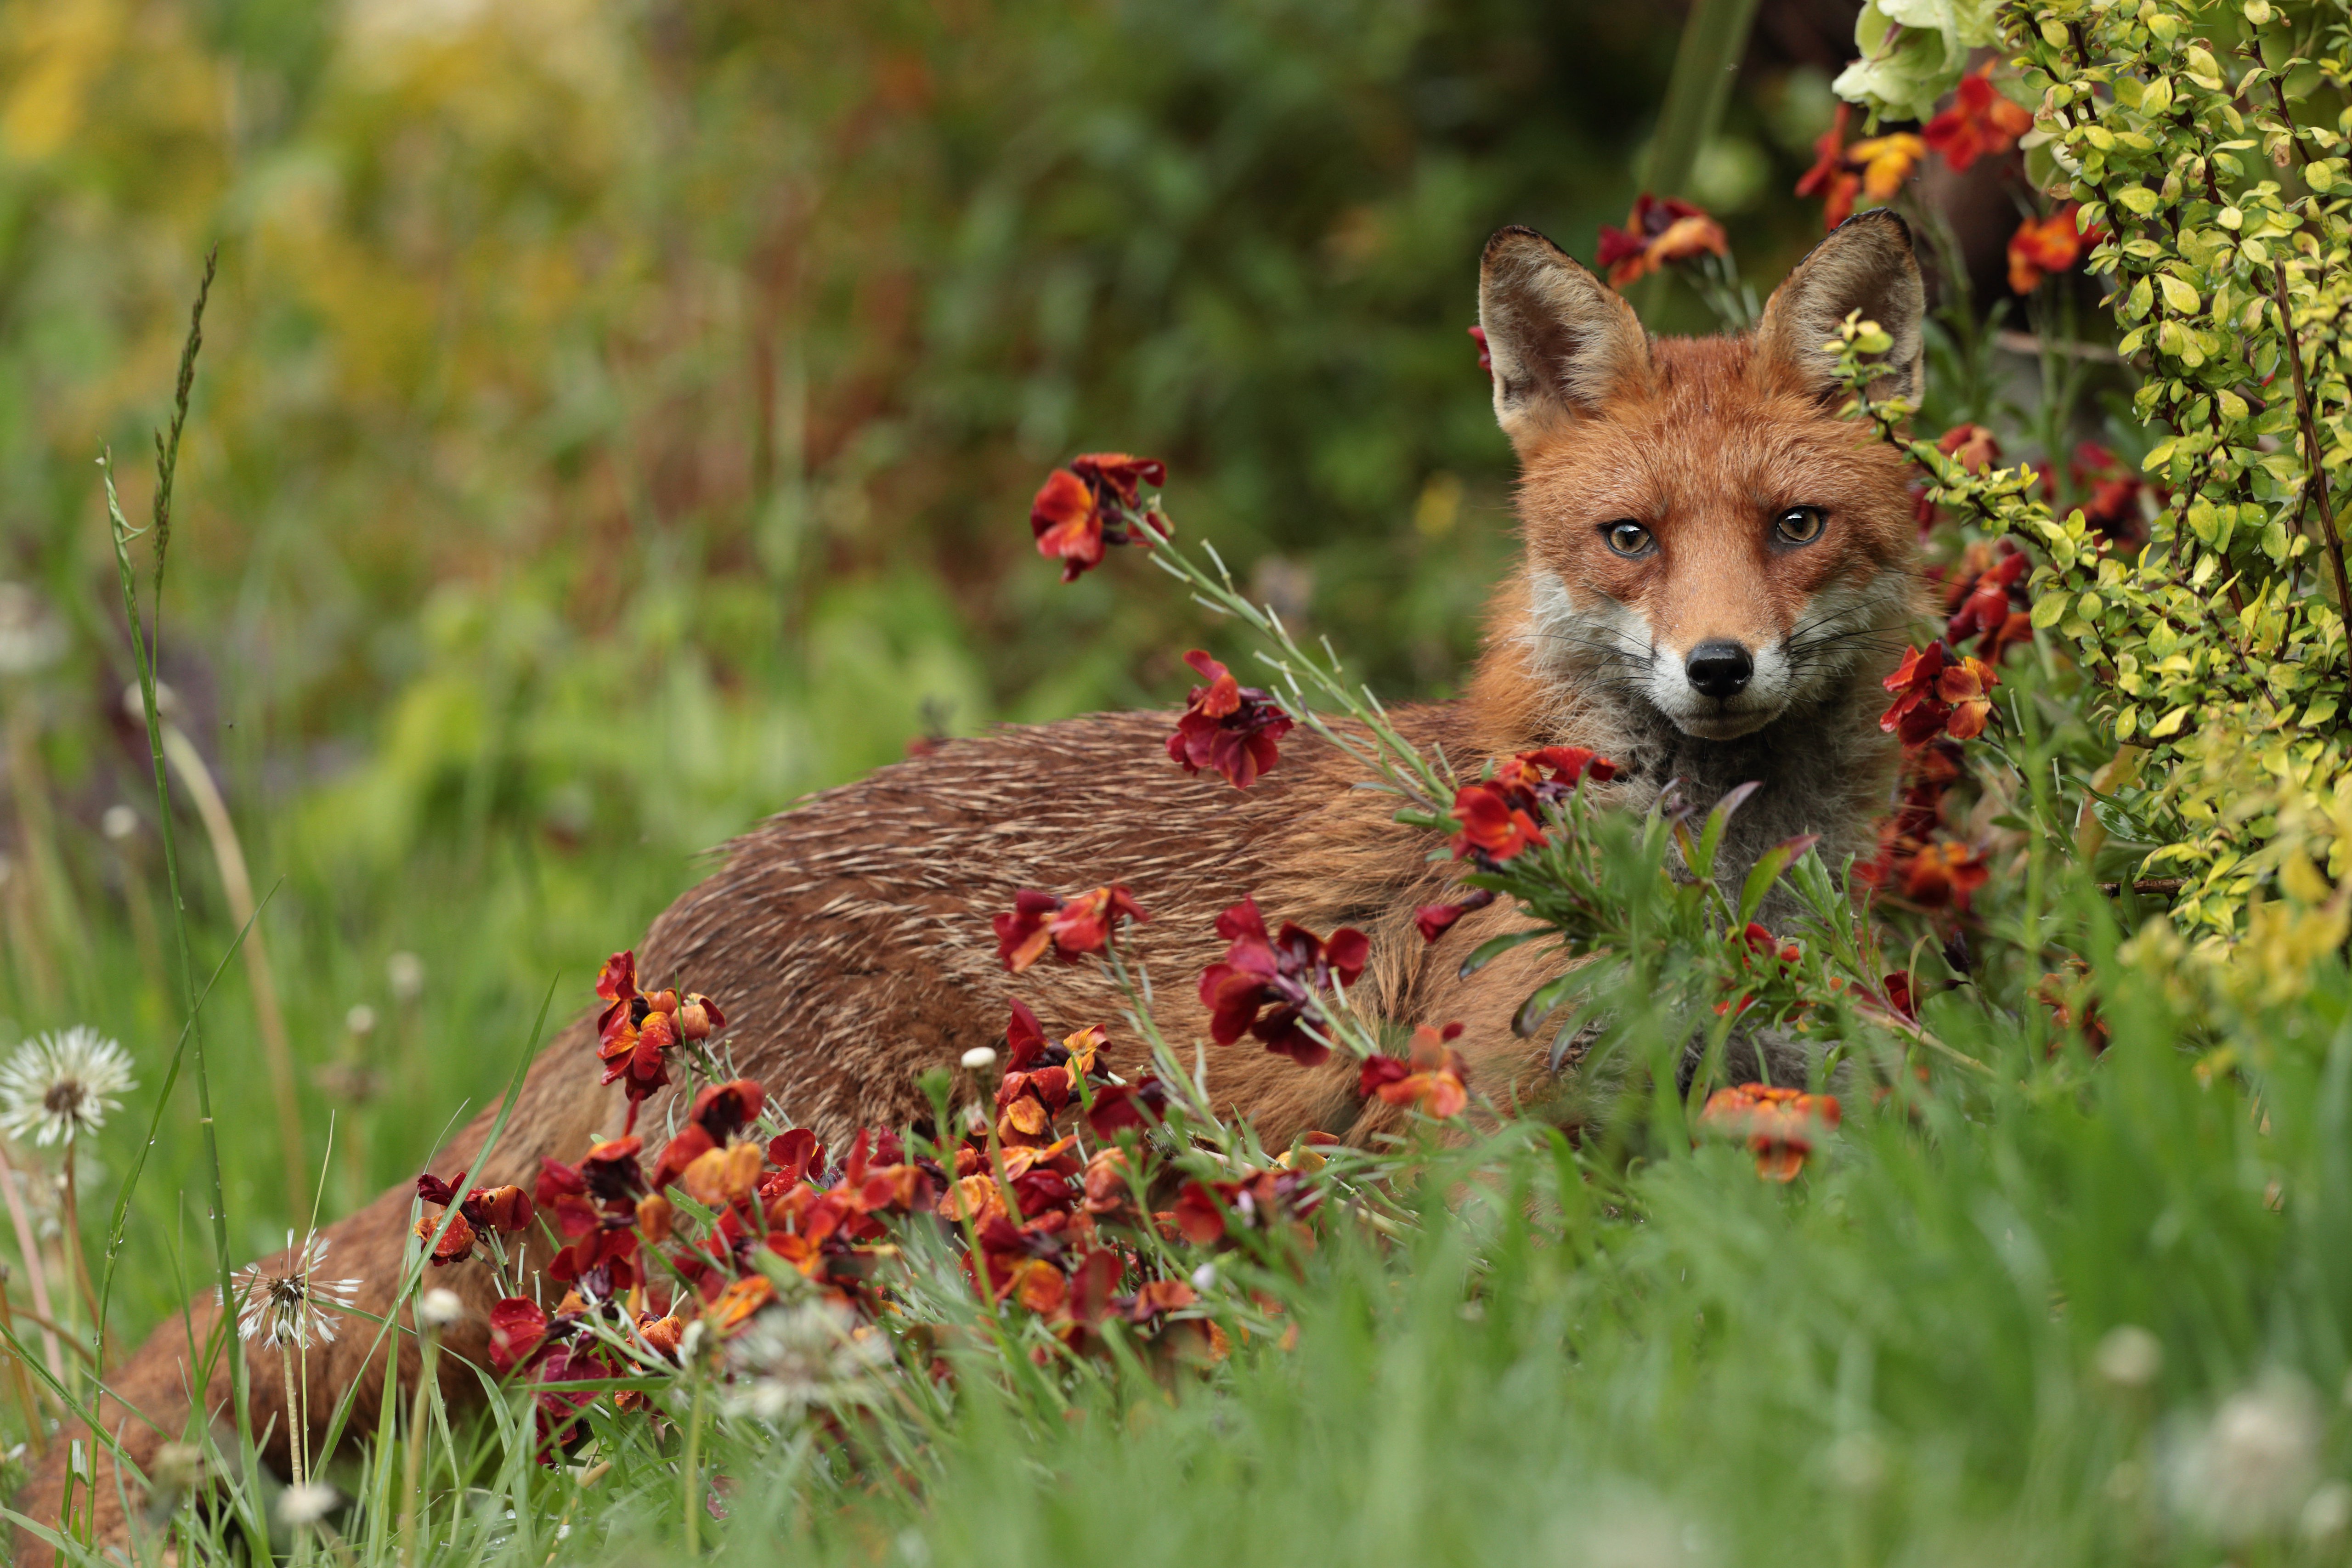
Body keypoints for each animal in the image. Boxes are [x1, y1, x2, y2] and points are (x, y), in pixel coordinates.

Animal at [18, 208, 1928, 1561]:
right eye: (1629, 539)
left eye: (1794, 527)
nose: (1718, 669)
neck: (1700, 861)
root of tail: (650, 956)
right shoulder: (1469, 1118)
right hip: (885, 1247)